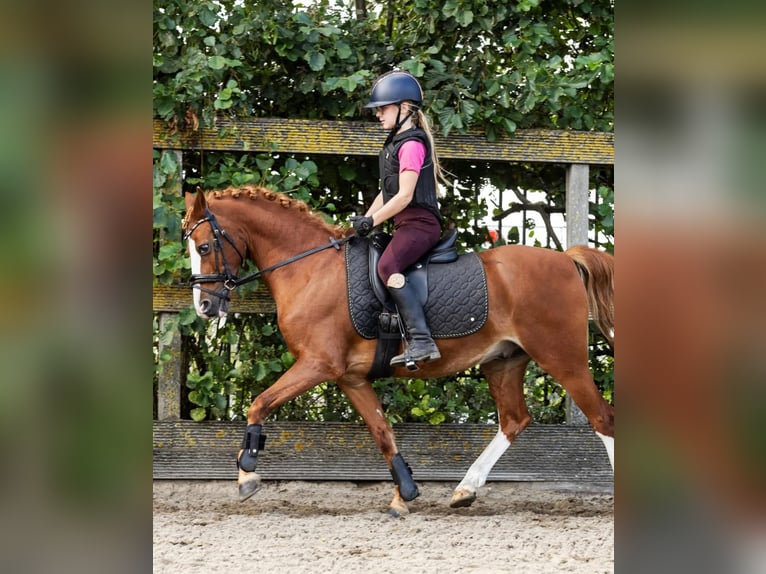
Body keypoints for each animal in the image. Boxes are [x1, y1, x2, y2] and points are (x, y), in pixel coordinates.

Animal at [182, 187, 616, 516]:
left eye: (203, 246)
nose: (204, 307)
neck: (310, 269)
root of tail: (566, 259)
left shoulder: (319, 365)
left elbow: (260, 403)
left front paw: (247, 473)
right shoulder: (349, 377)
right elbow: (382, 432)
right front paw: (404, 494)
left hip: (563, 358)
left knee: (602, 418)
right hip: (503, 362)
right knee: (514, 421)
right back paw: (465, 490)